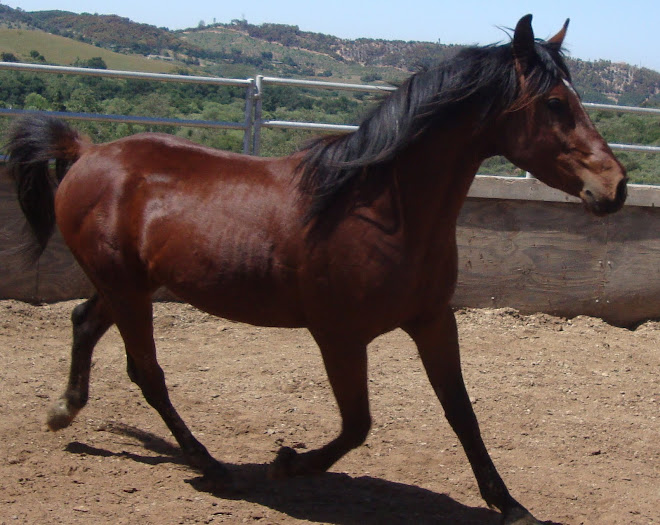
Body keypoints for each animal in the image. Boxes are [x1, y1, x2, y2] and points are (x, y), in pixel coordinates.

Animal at [6, 15, 624, 524]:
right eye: (555, 104)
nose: (615, 187)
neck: (380, 211)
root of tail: (87, 153)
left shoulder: (433, 321)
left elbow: (461, 412)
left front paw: (512, 506)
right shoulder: (339, 336)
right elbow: (358, 425)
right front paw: (285, 462)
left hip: (129, 286)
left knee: (85, 323)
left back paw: (65, 410)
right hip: (129, 291)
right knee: (147, 372)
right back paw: (212, 466)